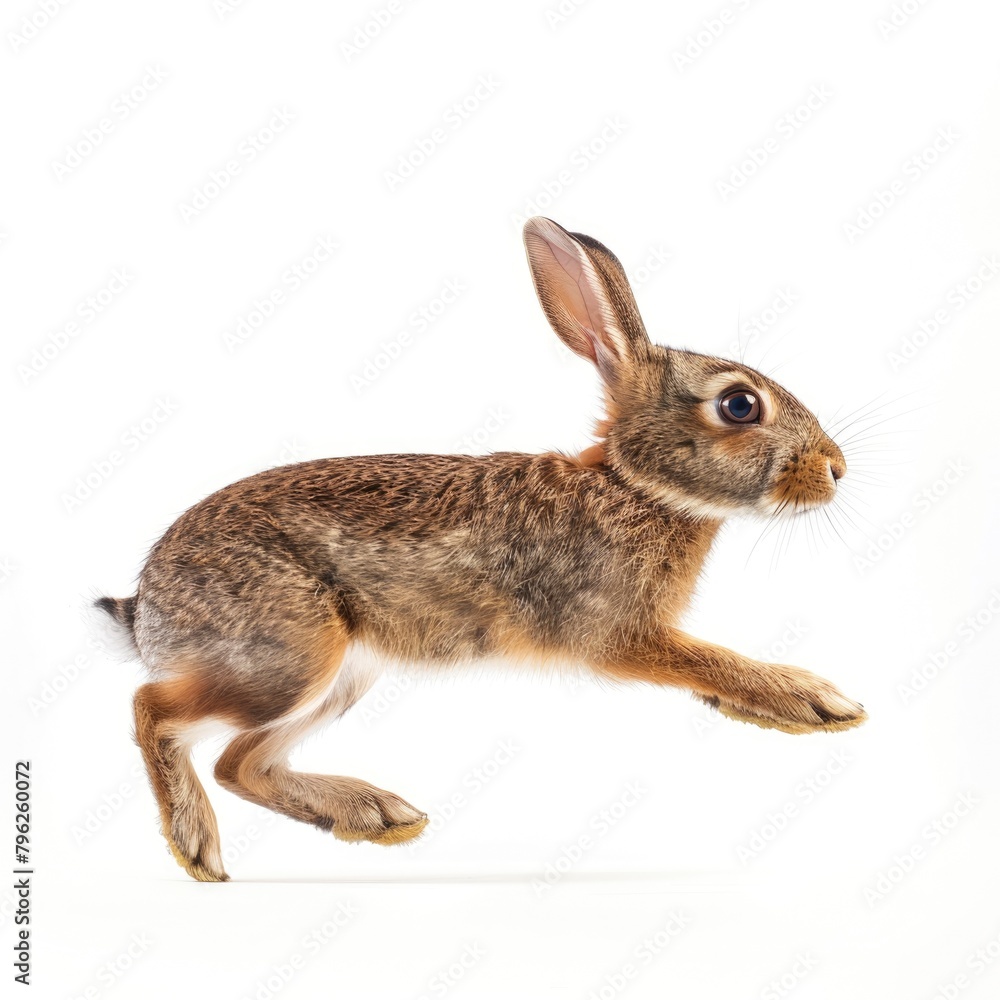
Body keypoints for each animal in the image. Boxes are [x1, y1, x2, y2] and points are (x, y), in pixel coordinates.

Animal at [96, 216, 866, 882]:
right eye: (739, 405)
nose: (835, 469)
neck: (635, 487)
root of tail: (147, 608)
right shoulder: (619, 634)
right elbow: (710, 658)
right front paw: (810, 698)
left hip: (341, 674)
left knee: (240, 763)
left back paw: (372, 814)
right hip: (288, 658)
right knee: (154, 711)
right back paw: (197, 844)